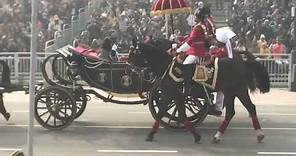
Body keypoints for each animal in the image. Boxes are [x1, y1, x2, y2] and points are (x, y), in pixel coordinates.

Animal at [128, 38, 270, 143]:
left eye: (133, 53)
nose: (129, 66)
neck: (167, 65)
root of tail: (242, 62)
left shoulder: (175, 94)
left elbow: (171, 113)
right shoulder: (171, 95)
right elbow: (168, 113)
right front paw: (152, 134)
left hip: (238, 90)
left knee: (247, 109)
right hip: (232, 92)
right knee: (237, 111)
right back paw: (220, 136)